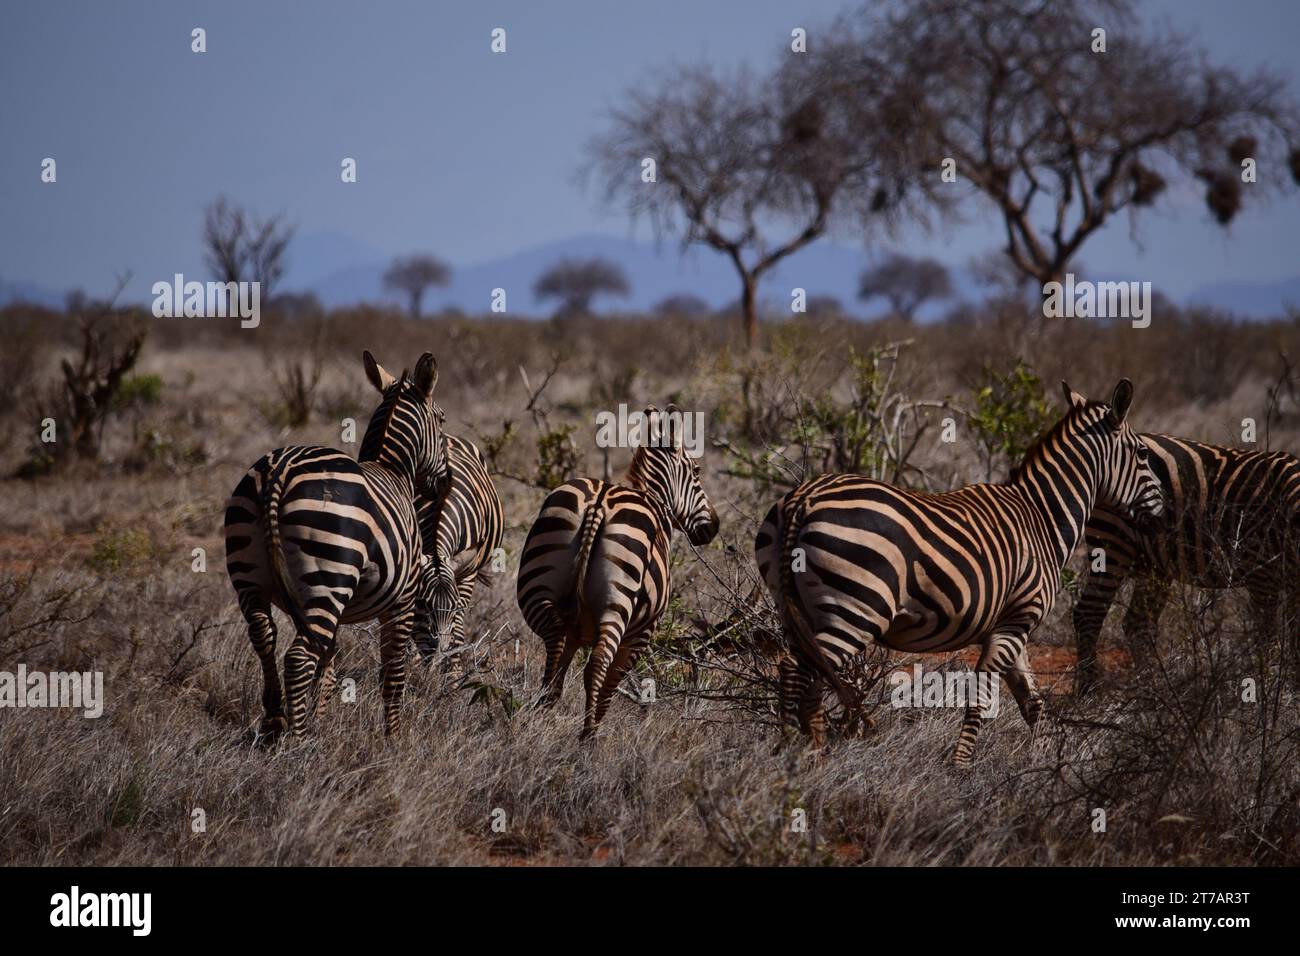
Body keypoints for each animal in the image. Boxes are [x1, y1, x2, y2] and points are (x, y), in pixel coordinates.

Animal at [226, 351, 444, 738]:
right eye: (442, 419)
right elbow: (393, 671)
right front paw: (394, 736)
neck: (395, 471)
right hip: (328, 578)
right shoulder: (403, 599)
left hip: (253, 576)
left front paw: (321, 719)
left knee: (265, 637)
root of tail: (280, 468)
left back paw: (275, 721)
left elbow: (328, 663)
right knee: (298, 657)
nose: (445, 481)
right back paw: (297, 742)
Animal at [410, 429, 501, 676]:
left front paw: (454, 673)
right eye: (426, 604)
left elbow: (458, 629)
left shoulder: (467, 572)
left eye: (454, 606)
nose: (437, 656)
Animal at [517, 403, 722, 738]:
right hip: (618, 604)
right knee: (598, 664)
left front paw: (550, 710)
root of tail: (599, 502)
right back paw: (588, 735)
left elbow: (564, 665)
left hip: (535, 586)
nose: (714, 527)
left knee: (554, 638)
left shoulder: (576, 631)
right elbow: (612, 682)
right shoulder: (642, 632)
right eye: (697, 472)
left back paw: (540, 711)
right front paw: (596, 725)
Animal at [759, 379, 1164, 764]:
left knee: (801, 673)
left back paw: (808, 755)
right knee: (797, 671)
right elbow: (984, 695)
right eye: (1144, 453)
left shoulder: (1012, 627)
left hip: (795, 609)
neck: (1042, 520)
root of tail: (804, 498)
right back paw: (791, 753)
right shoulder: (1015, 623)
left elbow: (1033, 704)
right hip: (855, 610)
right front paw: (961, 768)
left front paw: (1049, 767)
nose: (1163, 518)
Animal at [1071, 434, 1300, 697]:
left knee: (1138, 623)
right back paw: (1091, 690)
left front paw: (1293, 688)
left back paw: (1154, 688)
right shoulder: (1262, 574)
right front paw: (1269, 690)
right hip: (1113, 541)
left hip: (1155, 564)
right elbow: (1268, 638)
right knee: (1089, 612)